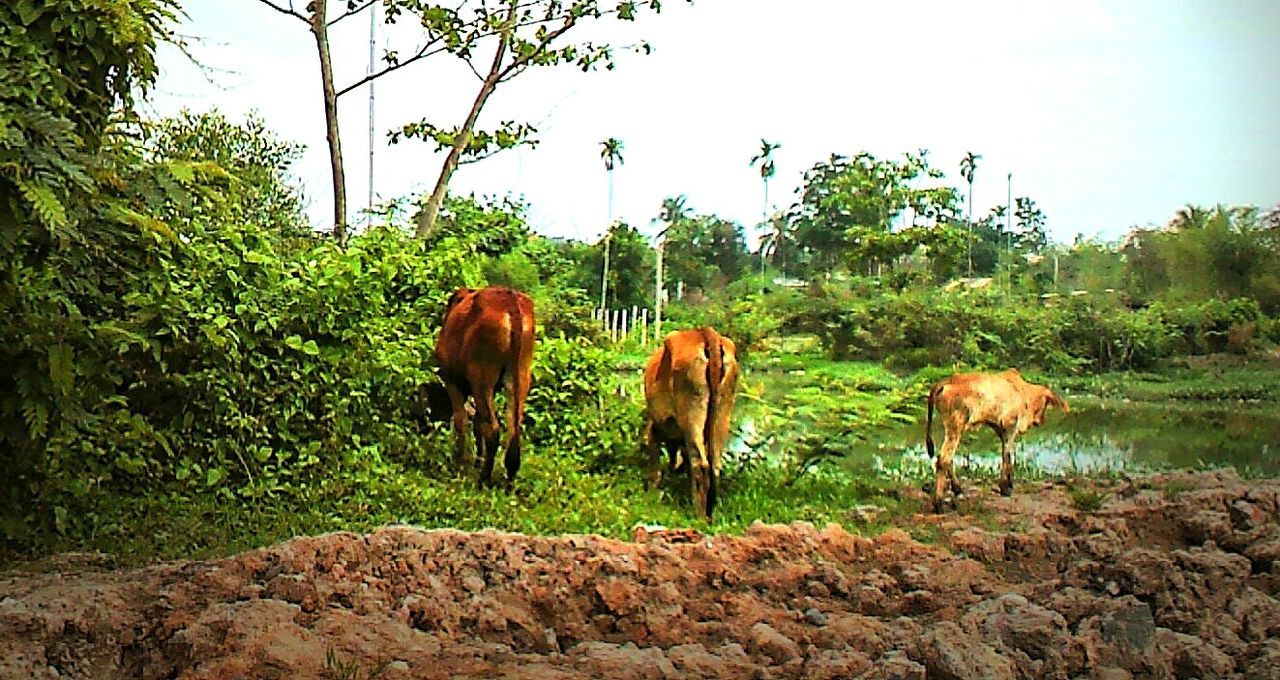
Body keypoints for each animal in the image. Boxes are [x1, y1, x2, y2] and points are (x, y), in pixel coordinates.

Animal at [435, 284, 535, 486]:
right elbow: (476, 422)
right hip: (521, 372)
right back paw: (510, 476)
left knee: (493, 429)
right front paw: (476, 461)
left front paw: (460, 462)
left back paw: (484, 478)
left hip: (482, 374)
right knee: (513, 427)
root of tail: (511, 303)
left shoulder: (452, 380)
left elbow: (461, 421)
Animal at [640, 327, 742, 519]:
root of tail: (707, 333)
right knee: (714, 465)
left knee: (700, 464)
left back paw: (699, 515)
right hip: (722, 412)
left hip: (691, 416)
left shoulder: (655, 428)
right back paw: (709, 511)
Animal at [921, 368, 1070, 514]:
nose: (1040, 421)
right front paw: (1005, 488)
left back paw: (957, 489)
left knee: (946, 459)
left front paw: (1008, 483)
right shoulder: (1010, 426)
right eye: (1045, 403)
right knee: (943, 460)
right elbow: (1008, 455)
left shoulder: (1000, 429)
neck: (1021, 391)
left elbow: (1006, 454)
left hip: (948, 428)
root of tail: (945, 381)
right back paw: (938, 504)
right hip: (955, 426)